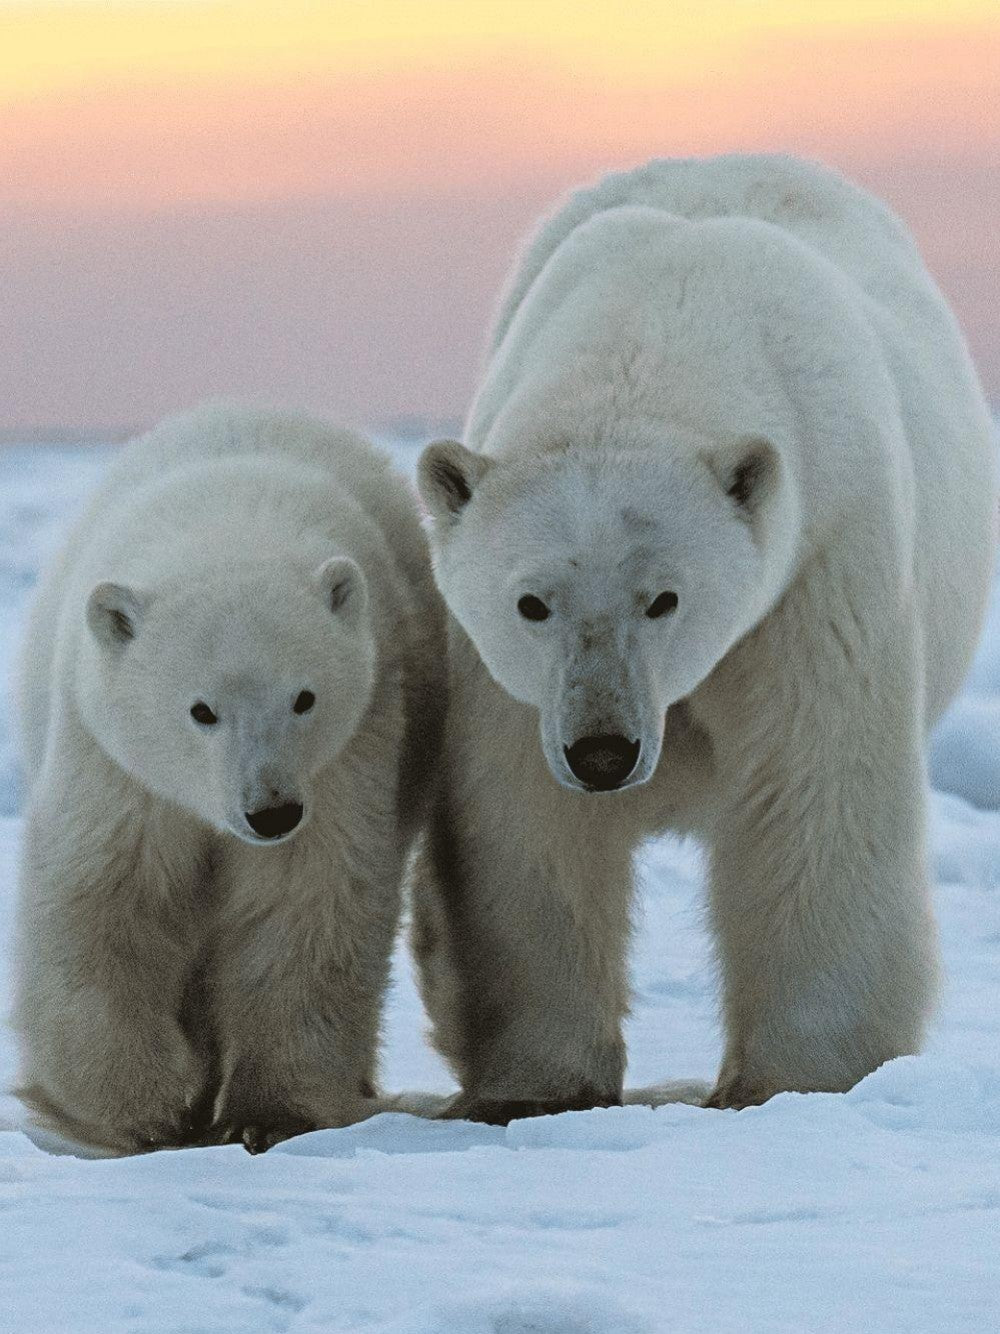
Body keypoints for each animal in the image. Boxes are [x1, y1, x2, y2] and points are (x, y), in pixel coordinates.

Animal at [13, 403, 445, 1154]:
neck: (229, 520)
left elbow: (304, 903)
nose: (270, 810)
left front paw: (269, 1112)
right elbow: (106, 899)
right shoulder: (117, 766)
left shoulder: (351, 749)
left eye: (304, 697)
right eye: (201, 710)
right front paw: (145, 1108)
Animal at [410, 153, 998, 1123]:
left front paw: (798, 1075)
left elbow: (812, 790)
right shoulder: (507, 683)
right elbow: (526, 821)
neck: (662, 313)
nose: (603, 751)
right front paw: (536, 1084)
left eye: (665, 599)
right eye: (532, 603)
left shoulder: (818, 565)